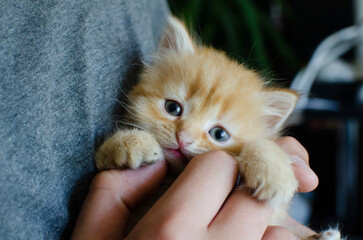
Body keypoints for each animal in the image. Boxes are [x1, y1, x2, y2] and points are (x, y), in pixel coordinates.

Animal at [95, 15, 342, 239]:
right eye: (173, 108)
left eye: (219, 134)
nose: (183, 137)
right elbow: (100, 157)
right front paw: (131, 142)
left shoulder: (275, 215)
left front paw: (273, 170)